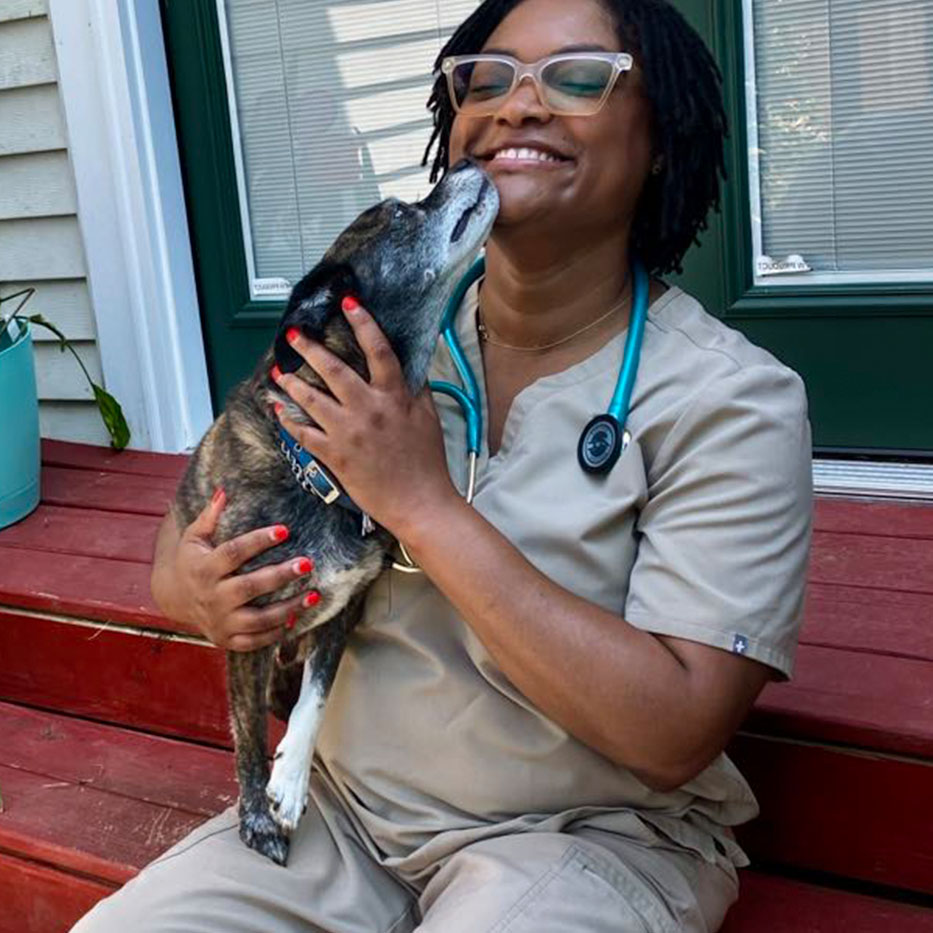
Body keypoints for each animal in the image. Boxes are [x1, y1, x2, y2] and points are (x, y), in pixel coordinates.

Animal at [173, 158, 496, 860]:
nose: (466, 161)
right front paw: (257, 818)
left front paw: (292, 781)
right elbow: (246, 739)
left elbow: (317, 698)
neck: (321, 475)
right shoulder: (245, 629)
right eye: (400, 211)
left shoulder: (345, 608)